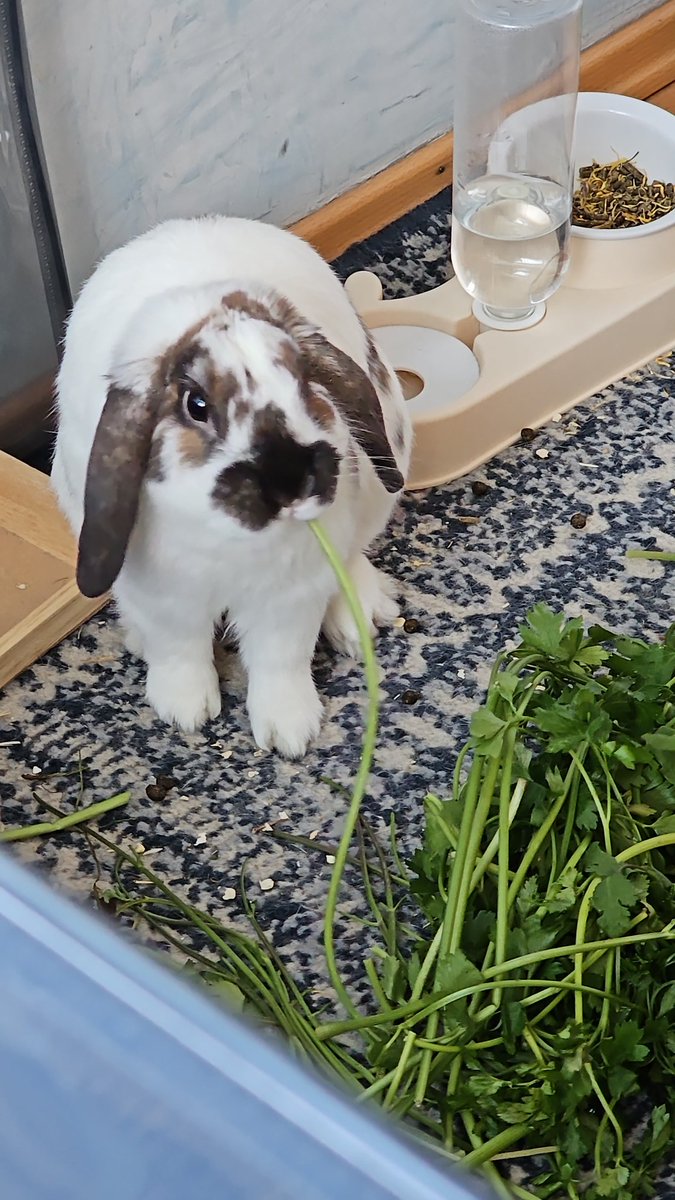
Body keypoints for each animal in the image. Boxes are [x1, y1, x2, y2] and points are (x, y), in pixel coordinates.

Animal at [51, 215, 412, 758]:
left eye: (305, 382)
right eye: (196, 405)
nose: (292, 482)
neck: (228, 540)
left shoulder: (290, 597)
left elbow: (280, 660)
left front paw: (289, 731)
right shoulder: (165, 596)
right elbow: (179, 650)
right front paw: (184, 711)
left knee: (353, 556)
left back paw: (361, 618)